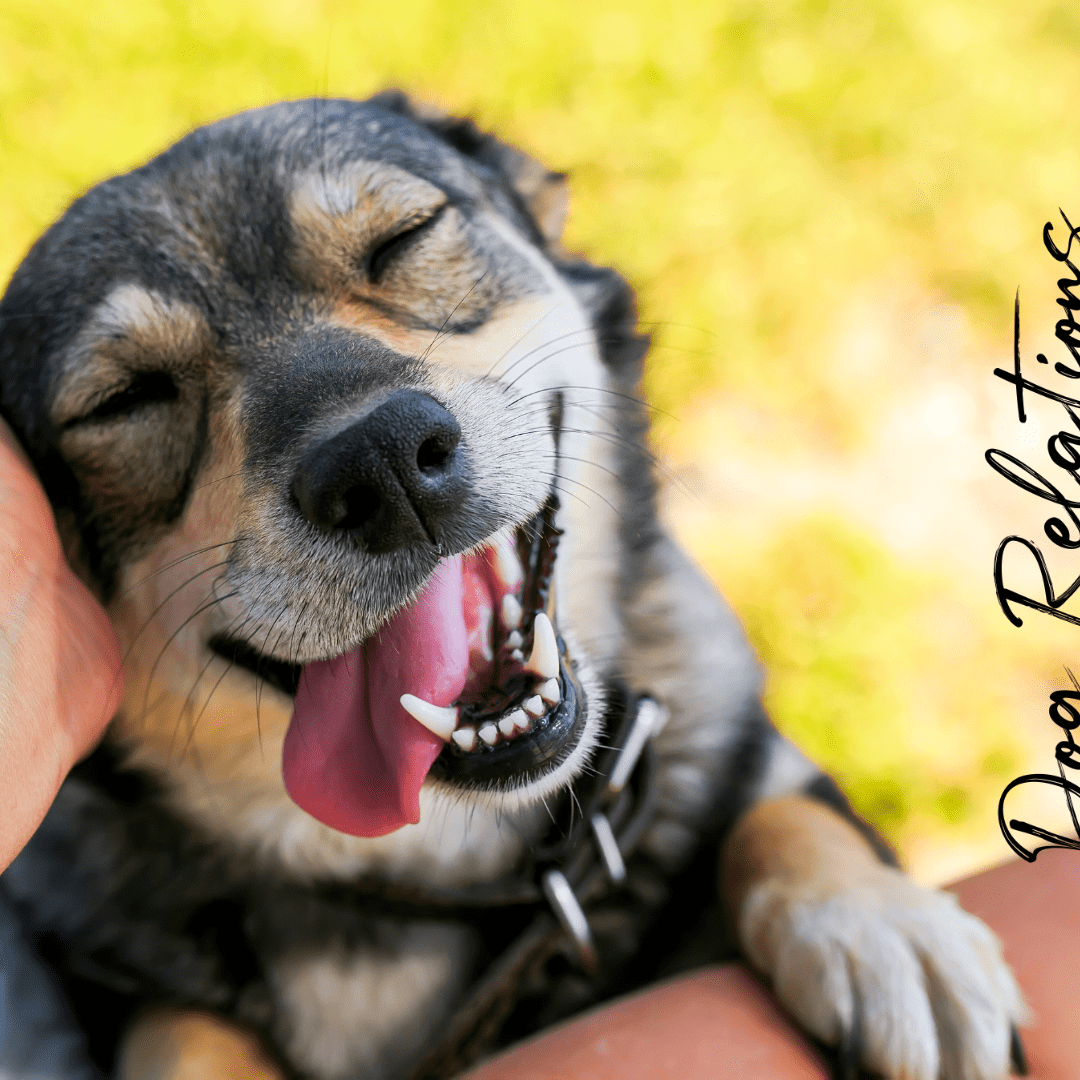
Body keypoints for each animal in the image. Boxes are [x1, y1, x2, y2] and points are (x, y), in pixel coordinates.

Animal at [0, 95, 1023, 1080]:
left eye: (404, 238)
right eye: (124, 399)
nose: (381, 465)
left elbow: (781, 814)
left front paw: (883, 927)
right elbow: (179, 1032)